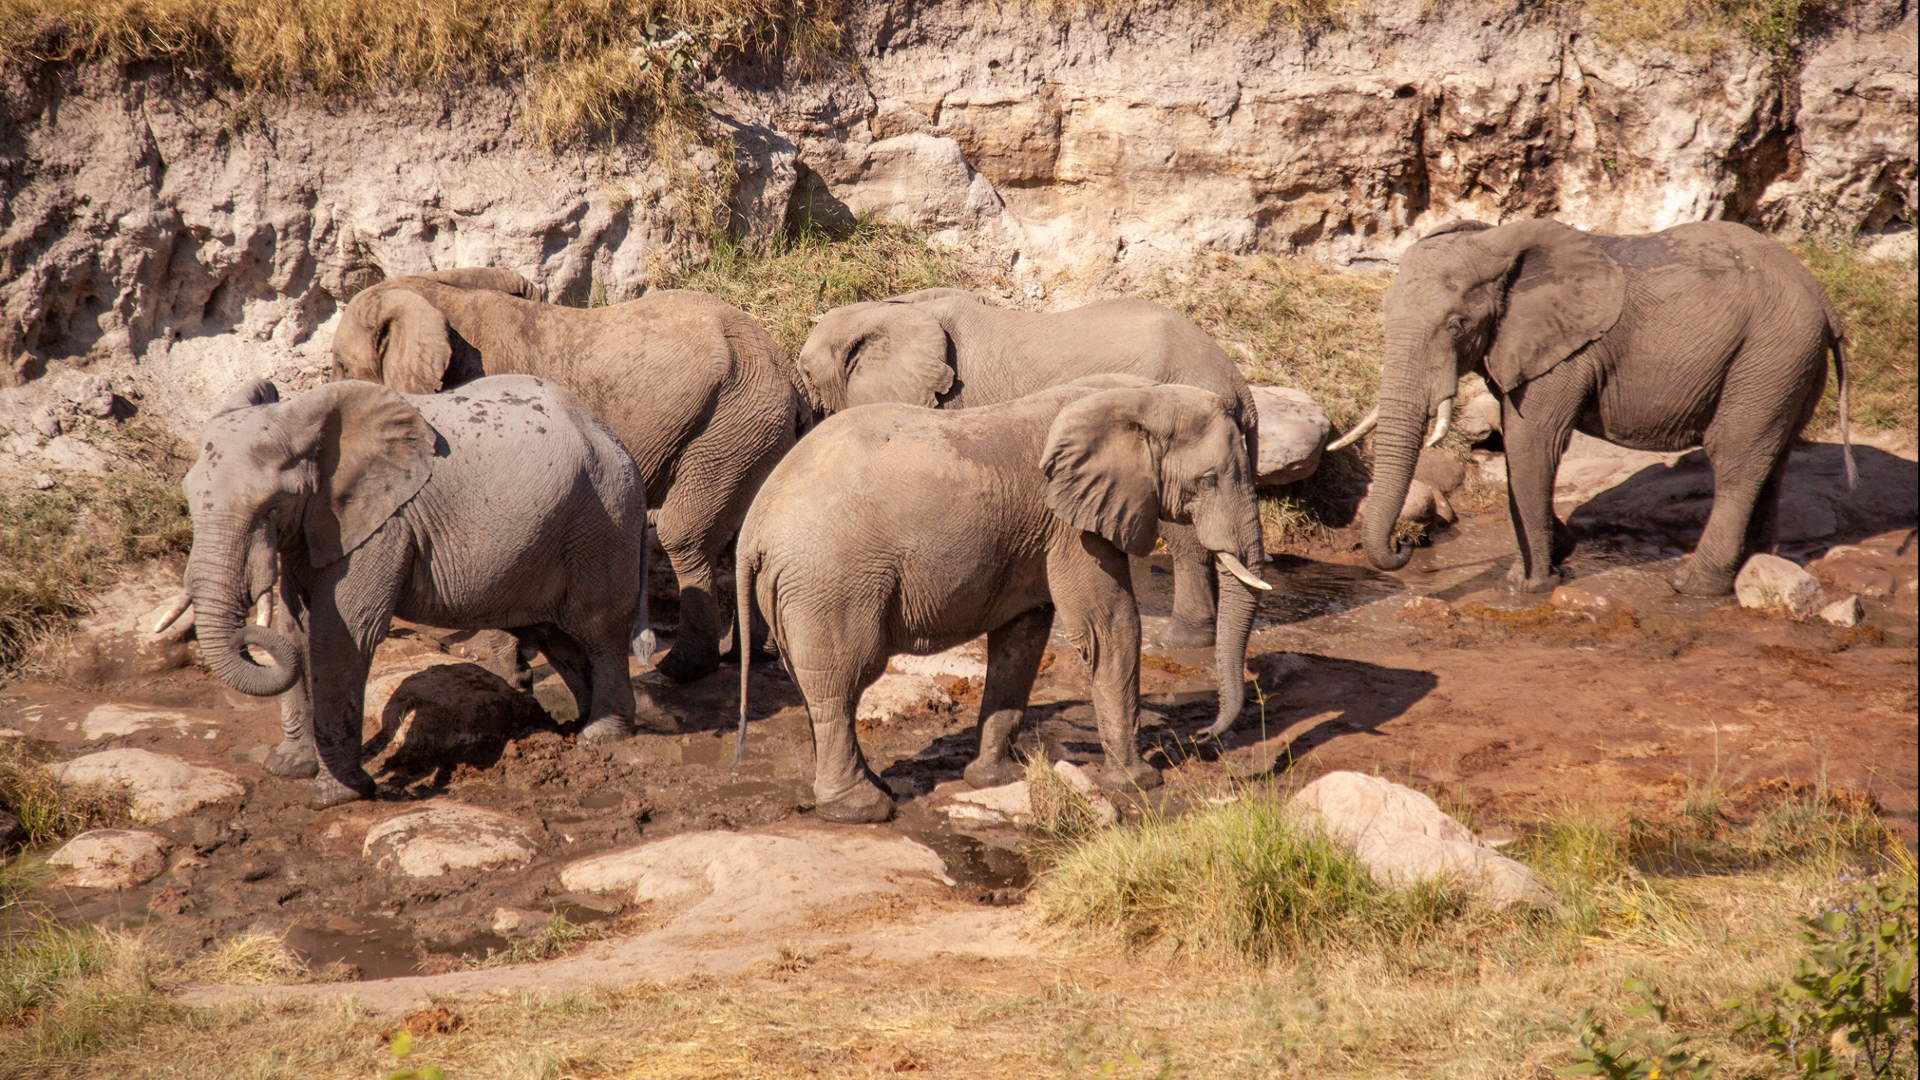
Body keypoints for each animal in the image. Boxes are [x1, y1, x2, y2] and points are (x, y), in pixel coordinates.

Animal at [164, 374, 651, 808]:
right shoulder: (314, 526)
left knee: (600, 630)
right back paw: (580, 723)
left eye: (270, 507)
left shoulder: (384, 524)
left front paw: (334, 796)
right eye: (188, 497)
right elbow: (296, 629)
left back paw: (599, 736)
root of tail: (612, 435)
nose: (247, 627)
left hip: (603, 519)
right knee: (560, 640)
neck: (304, 419)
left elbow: (338, 636)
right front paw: (288, 768)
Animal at [331, 269, 809, 682]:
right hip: (751, 431)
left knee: (683, 535)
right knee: (745, 533)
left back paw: (682, 669)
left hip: (734, 420)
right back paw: (750, 655)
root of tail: (789, 370)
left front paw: (508, 669)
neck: (427, 295)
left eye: (340, 367)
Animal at [733, 375, 1272, 823]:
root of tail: (752, 532)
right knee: (842, 681)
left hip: (798, 592)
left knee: (815, 684)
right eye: (1209, 480)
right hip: (830, 584)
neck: (1138, 395)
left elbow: (1023, 638)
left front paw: (993, 779)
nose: (1203, 736)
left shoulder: (1041, 534)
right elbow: (1110, 627)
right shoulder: (1071, 527)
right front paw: (1140, 782)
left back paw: (872, 789)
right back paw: (862, 810)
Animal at [797, 289, 1265, 736]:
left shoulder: (955, 402)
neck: (888, 309)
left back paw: (1178, 641)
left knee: (1187, 535)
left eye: (805, 374)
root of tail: (1238, 383)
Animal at [1333, 218, 1852, 595]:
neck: (1496, 242)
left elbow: (1531, 442)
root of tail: (1824, 299)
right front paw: (1561, 549)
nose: (1404, 544)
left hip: (1771, 351)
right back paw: (1757, 562)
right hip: (1788, 363)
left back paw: (1692, 585)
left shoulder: (1568, 351)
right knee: (1773, 456)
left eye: (1456, 325)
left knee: (1736, 459)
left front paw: (1527, 586)